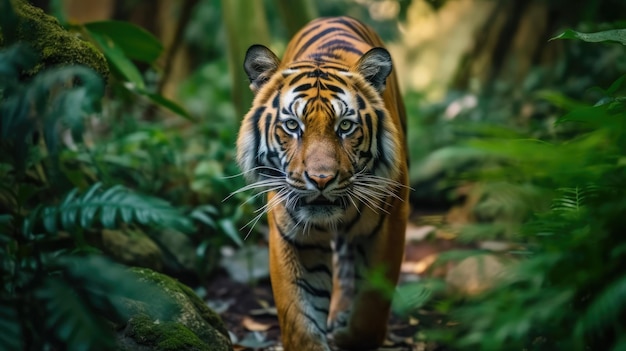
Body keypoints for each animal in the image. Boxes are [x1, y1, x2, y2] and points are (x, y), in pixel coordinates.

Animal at [236, 15, 408, 351]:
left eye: (346, 126)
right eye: (292, 125)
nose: (321, 179)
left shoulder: (391, 222)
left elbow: (372, 304)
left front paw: (349, 336)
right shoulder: (293, 237)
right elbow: (300, 319)